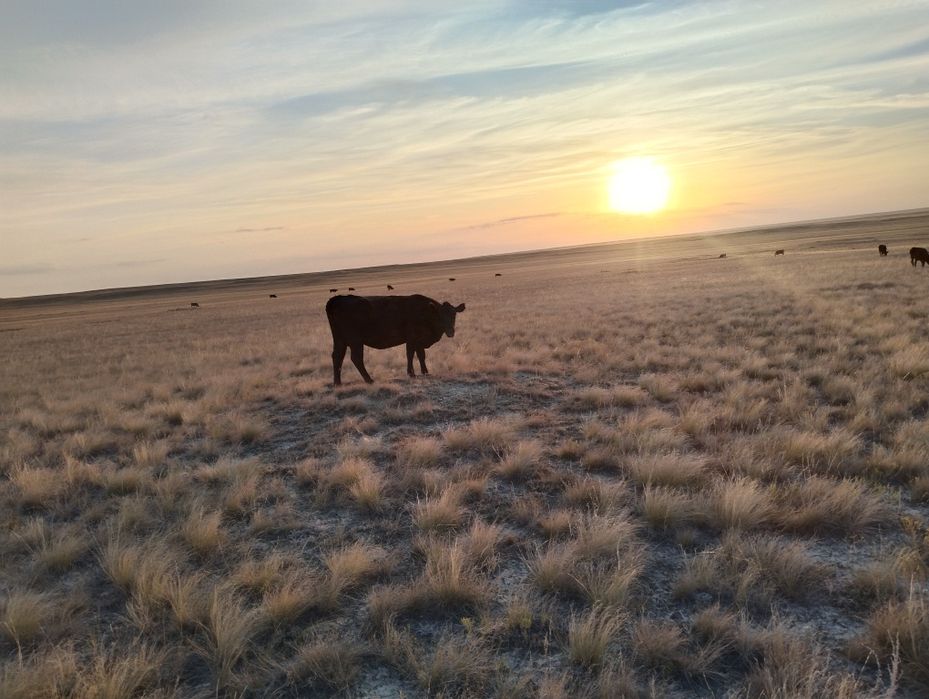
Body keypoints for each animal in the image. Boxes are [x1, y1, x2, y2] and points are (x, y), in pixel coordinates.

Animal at [326, 294, 465, 385]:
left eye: (454, 315)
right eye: (440, 315)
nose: (450, 331)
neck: (425, 312)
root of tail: (337, 299)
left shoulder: (419, 342)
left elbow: (421, 355)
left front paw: (425, 372)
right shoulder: (412, 339)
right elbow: (410, 355)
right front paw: (411, 374)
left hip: (340, 340)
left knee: (337, 356)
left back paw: (337, 383)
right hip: (355, 341)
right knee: (356, 358)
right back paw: (369, 380)